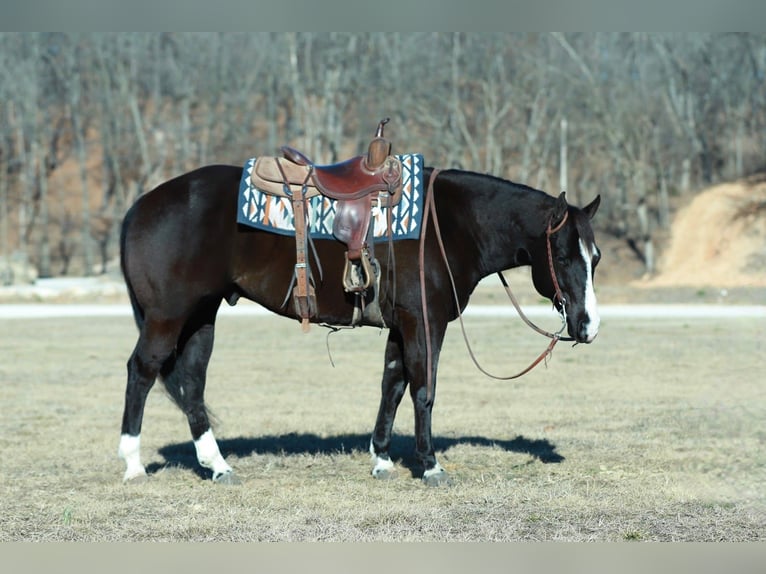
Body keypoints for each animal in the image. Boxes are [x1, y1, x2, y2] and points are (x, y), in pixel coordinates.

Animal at [117, 164, 601, 486]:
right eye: (562, 257)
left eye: (594, 258)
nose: (588, 326)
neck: (449, 225)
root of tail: (139, 207)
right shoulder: (424, 322)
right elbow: (423, 390)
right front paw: (430, 465)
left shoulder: (400, 326)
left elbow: (393, 385)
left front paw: (382, 458)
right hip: (167, 317)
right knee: (141, 371)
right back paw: (134, 464)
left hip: (201, 317)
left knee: (192, 384)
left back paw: (217, 466)